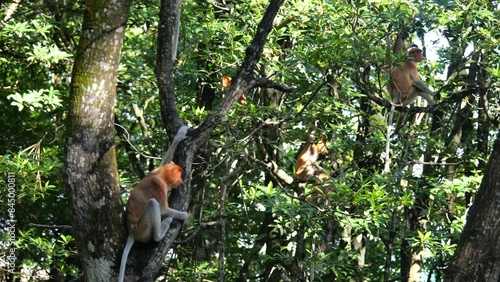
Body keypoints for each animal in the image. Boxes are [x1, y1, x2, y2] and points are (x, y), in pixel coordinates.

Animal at [118, 126, 188, 282]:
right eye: (179, 175)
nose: (181, 181)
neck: (161, 175)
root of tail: (131, 231)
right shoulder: (159, 185)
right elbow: (164, 210)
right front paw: (187, 216)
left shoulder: (155, 170)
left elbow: (163, 162)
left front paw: (180, 134)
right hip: (142, 230)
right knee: (153, 204)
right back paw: (161, 232)